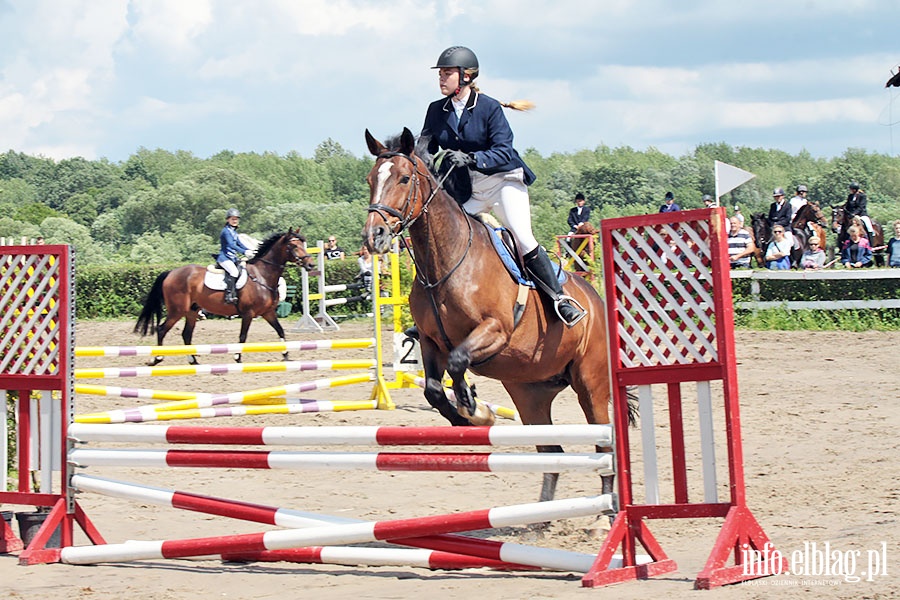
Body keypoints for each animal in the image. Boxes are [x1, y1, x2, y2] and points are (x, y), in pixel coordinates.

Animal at [134, 229, 314, 360]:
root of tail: (171, 272)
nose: (311, 264)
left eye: (303, 244)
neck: (262, 275)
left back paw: (193, 361)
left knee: (186, 334)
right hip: (177, 310)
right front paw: (237, 357)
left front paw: (286, 354)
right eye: (294, 246)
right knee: (161, 329)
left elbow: (280, 331)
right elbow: (242, 336)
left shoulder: (268, 313)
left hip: (192, 311)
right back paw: (158, 358)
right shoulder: (248, 313)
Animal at [362, 130, 616, 502]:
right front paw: (468, 418)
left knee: (603, 445)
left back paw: (606, 509)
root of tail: (595, 300)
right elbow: (434, 389)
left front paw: (474, 408)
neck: (445, 261)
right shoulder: (430, 341)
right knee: (551, 452)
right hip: (530, 392)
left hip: (590, 383)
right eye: (370, 180)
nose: (373, 236)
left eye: (405, 178)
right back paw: (543, 510)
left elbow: (458, 363)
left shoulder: (494, 330)